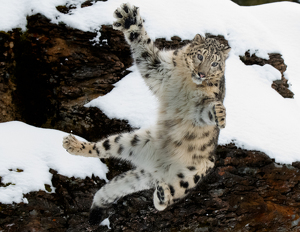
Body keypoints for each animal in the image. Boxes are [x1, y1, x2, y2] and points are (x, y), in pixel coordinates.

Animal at [62, 2, 230, 226]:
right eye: (200, 56)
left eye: (215, 63)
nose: (202, 74)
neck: (187, 82)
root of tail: (157, 167)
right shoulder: (159, 70)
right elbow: (143, 47)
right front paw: (129, 19)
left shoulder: (198, 107)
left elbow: (207, 110)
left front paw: (220, 114)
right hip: (131, 140)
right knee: (102, 148)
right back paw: (73, 144)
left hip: (193, 172)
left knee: (171, 196)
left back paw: (162, 194)